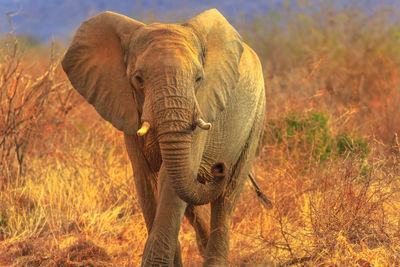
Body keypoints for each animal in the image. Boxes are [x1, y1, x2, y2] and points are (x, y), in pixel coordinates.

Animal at [62, 8, 266, 267]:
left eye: (199, 79)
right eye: (138, 79)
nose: (219, 166)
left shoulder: (201, 107)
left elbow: (168, 180)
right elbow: (146, 181)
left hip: (256, 116)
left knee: (227, 196)